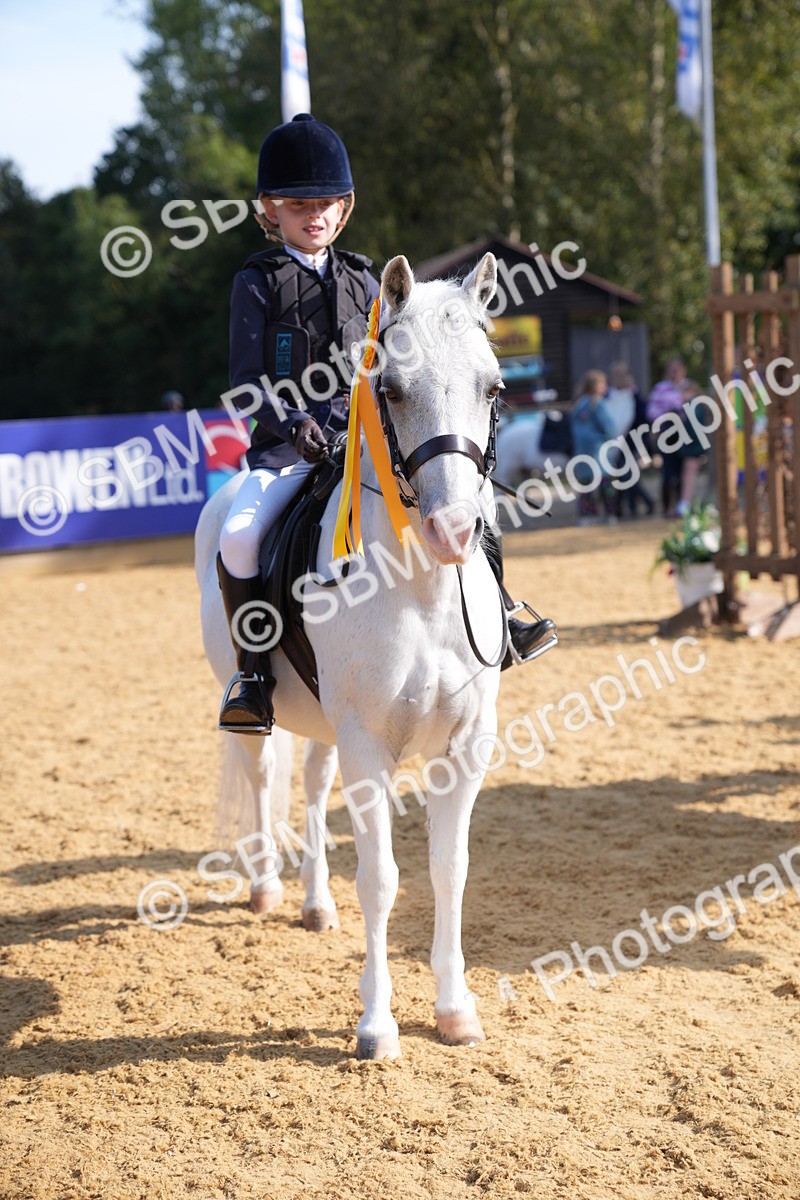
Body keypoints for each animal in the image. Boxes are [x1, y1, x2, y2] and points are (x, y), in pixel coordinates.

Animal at [195, 252, 507, 1060]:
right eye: (390, 389)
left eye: (493, 386)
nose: (454, 532)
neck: (423, 590)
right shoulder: (370, 744)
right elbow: (382, 880)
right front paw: (376, 1027)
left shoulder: (466, 745)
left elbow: (449, 870)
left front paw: (455, 1010)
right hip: (260, 703)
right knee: (263, 773)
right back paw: (268, 888)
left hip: (327, 723)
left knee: (309, 786)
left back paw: (312, 902)